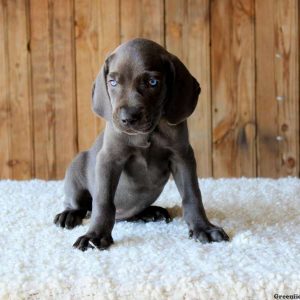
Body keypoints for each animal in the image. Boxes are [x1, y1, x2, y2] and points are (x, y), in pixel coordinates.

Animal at [54, 38, 229, 252]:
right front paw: (95, 236)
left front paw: (202, 227)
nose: (127, 118)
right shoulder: (109, 158)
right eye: (113, 82)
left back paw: (150, 212)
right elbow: (103, 202)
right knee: (81, 204)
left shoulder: (182, 156)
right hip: (77, 165)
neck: (148, 133)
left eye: (152, 82)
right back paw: (70, 214)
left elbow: (192, 195)